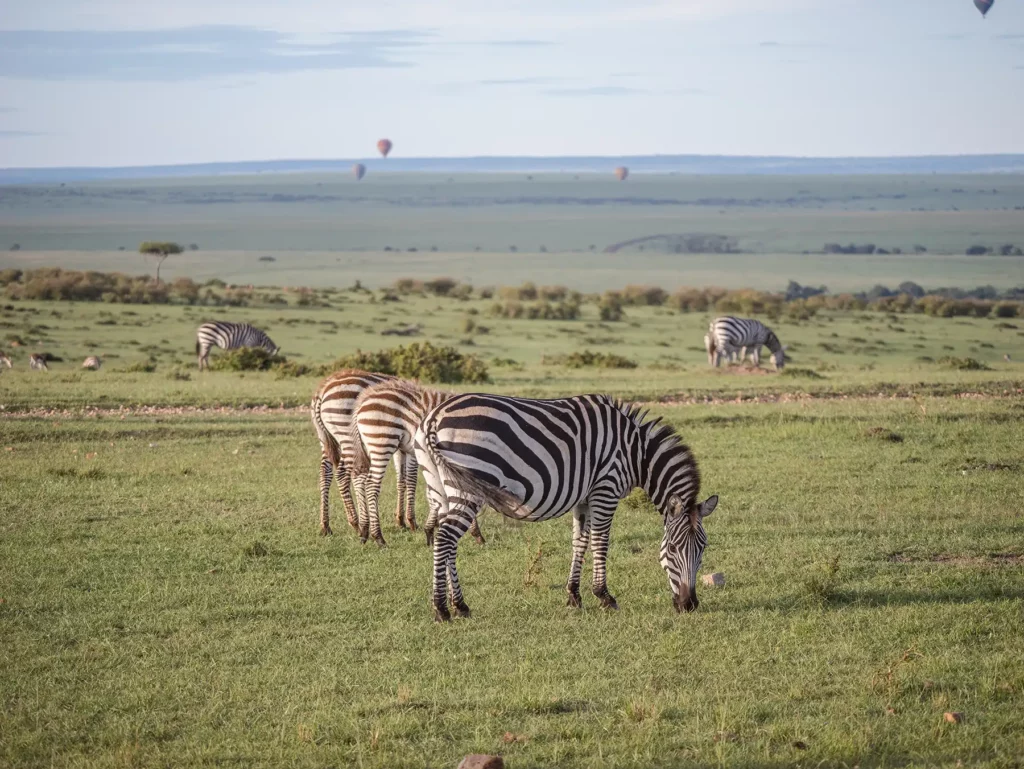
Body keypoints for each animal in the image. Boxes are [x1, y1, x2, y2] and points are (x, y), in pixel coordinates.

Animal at [311, 369, 415, 538]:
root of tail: (322, 391)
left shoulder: (400, 447)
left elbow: (402, 480)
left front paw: (400, 520)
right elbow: (411, 479)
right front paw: (411, 521)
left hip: (325, 439)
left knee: (325, 473)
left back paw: (325, 525)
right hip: (348, 437)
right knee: (342, 475)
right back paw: (356, 523)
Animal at [347, 379, 485, 548]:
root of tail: (364, 400)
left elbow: (434, 492)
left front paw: (432, 527)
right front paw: (474, 532)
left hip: (366, 446)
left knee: (358, 476)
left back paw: (364, 531)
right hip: (382, 442)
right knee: (372, 485)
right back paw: (378, 537)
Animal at [415, 393, 718, 622]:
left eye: (703, 548)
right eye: (673, 549)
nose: (689, 605)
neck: (636, 453)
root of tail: (433, 418)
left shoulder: (584, 497)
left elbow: (579, 541)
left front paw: (574, 595)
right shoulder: (606, 489)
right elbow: (600, 542)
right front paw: (604, 596)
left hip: (439, 485)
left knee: (446, 539)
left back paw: (460, 606)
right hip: (467, 485)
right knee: (446, 538)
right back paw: (441, 609)